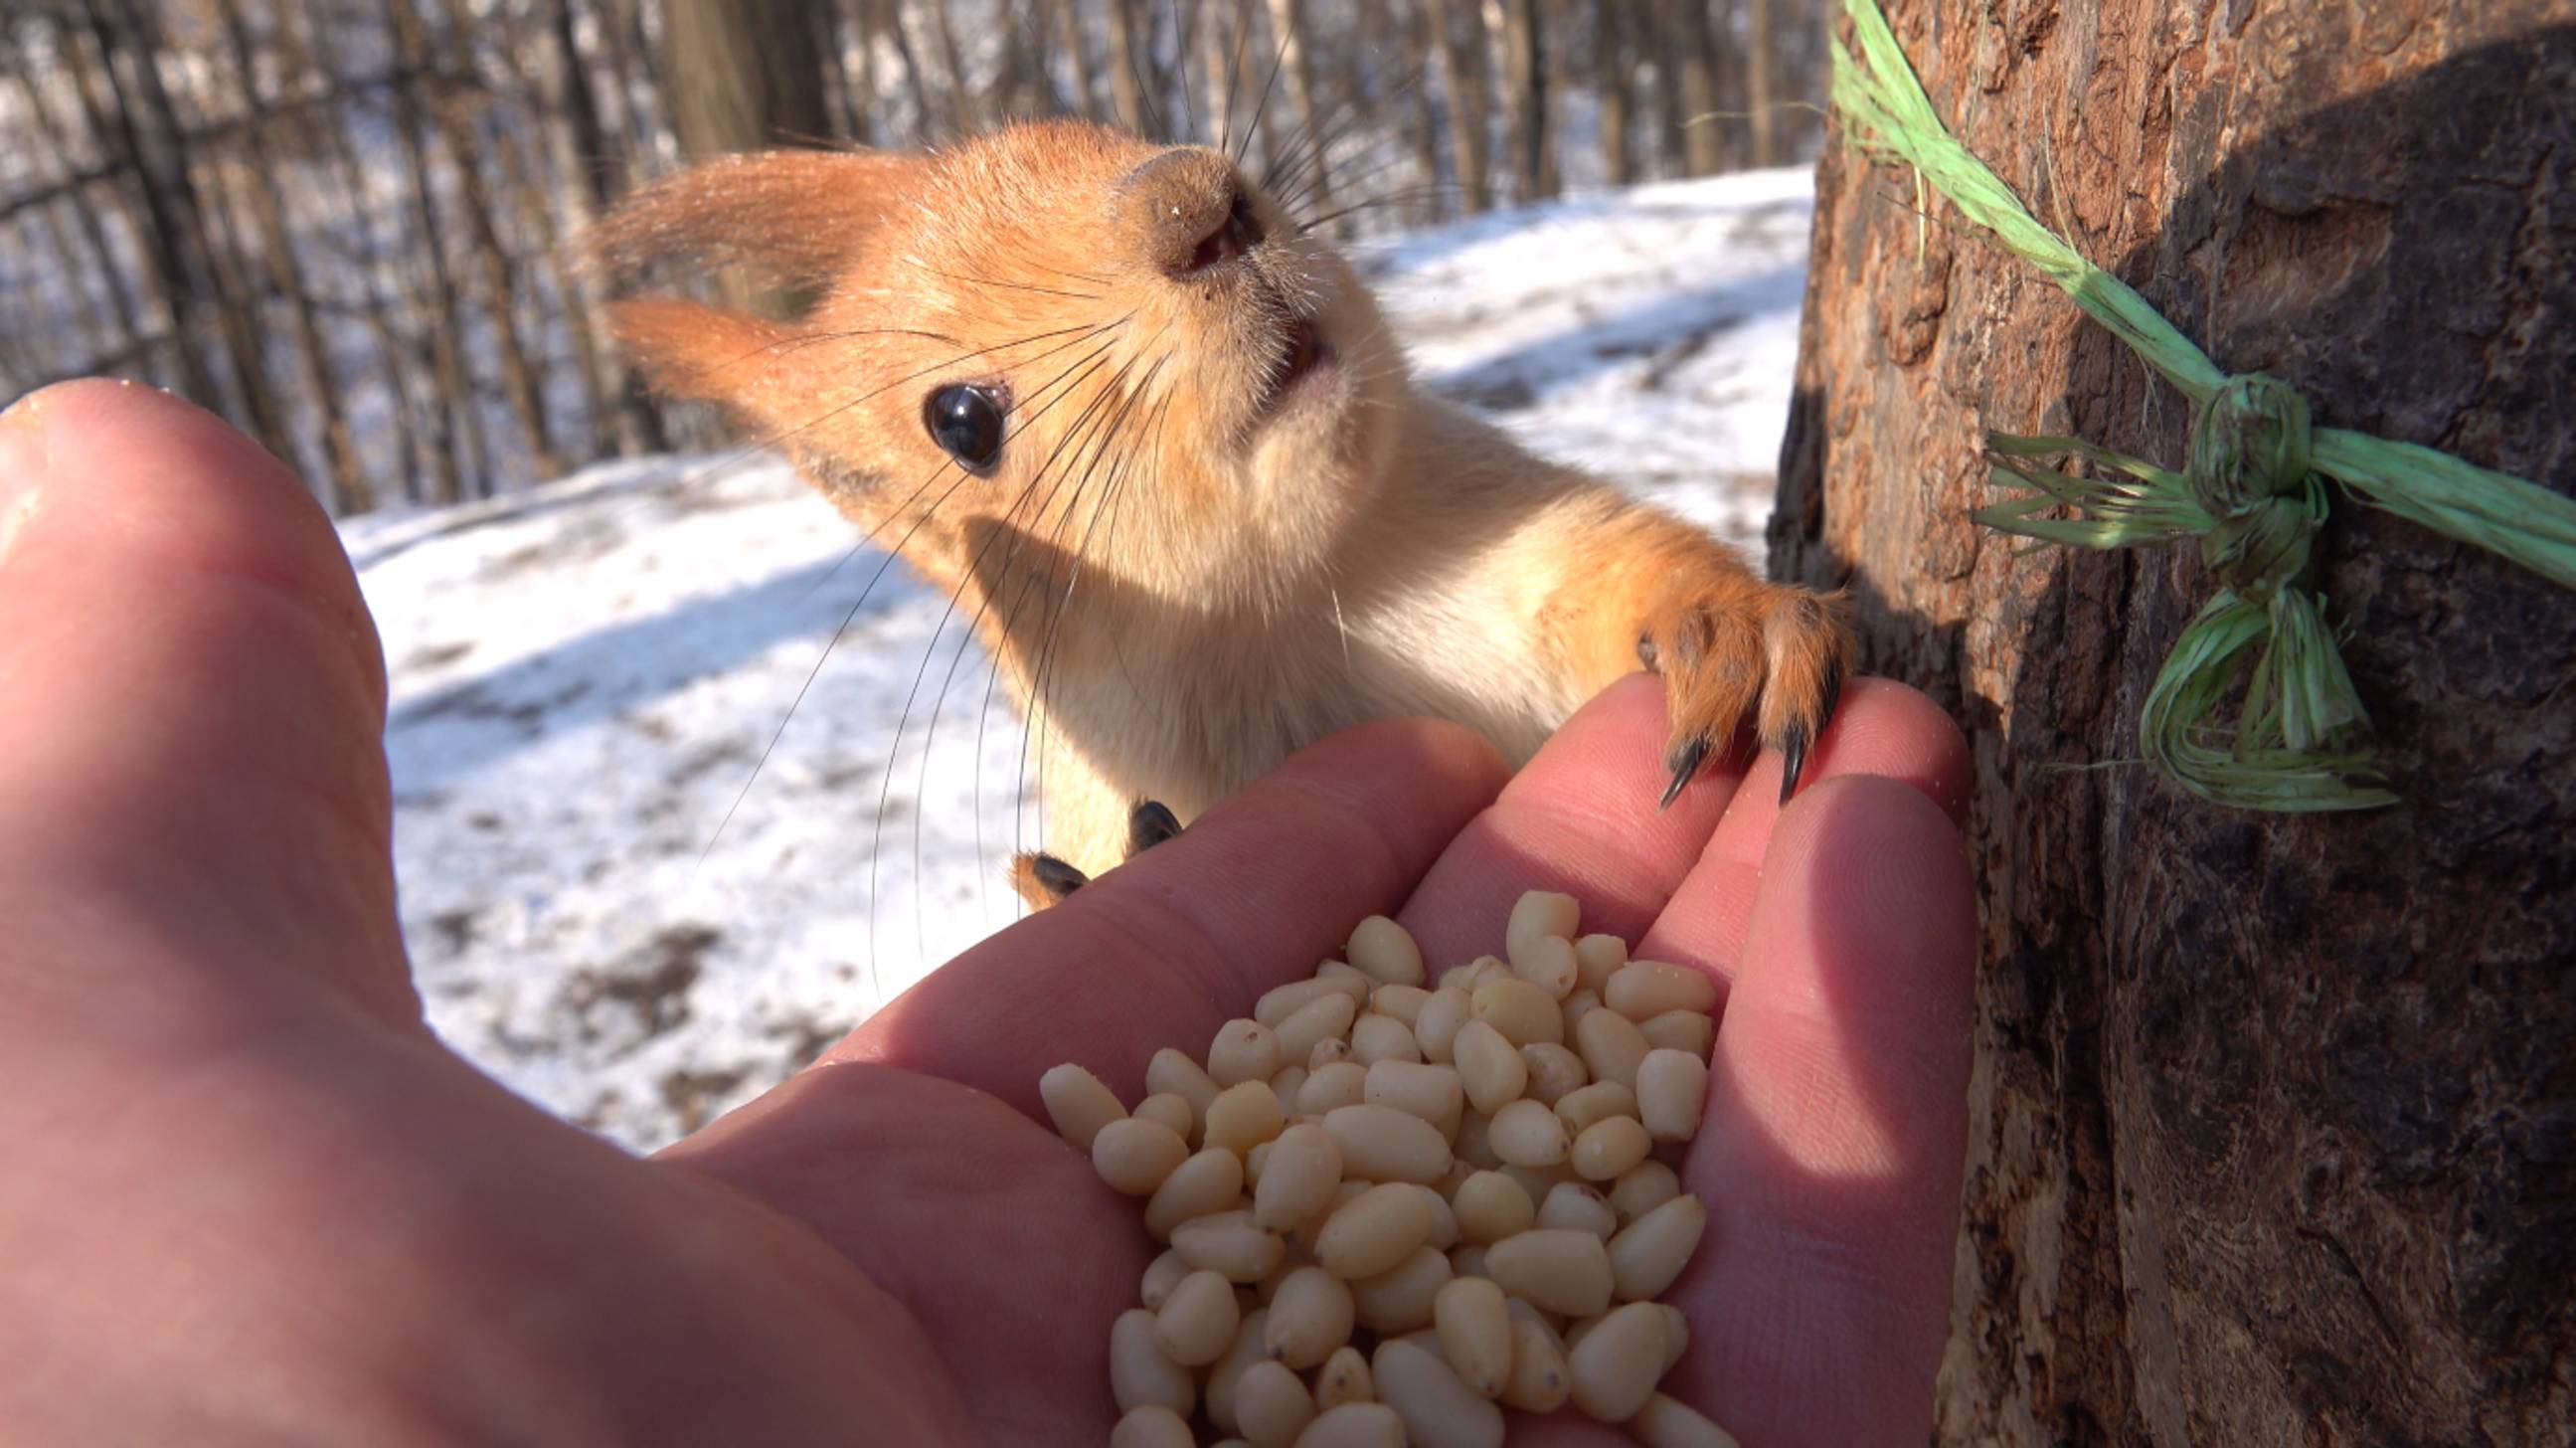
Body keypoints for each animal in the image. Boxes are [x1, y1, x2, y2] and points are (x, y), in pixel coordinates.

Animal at [598, 120, 1854, 901]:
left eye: (1098, 130)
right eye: (959, 421)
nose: (1199, 205)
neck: (1272, 614)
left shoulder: (1494, 536)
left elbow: (1606, 570)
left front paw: (1725, 625)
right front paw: (1074, 885)